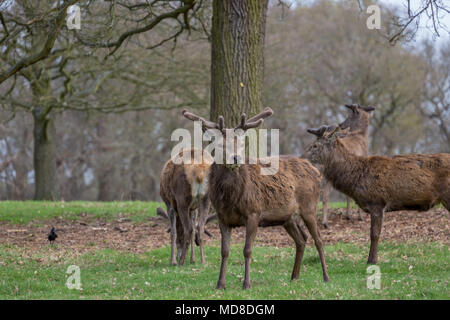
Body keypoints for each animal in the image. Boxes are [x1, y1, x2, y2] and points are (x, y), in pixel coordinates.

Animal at [181, 107, 328, 290]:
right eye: (221, 145)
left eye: (241, 143)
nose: (235, 158)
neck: (230, 199)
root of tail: (315, 171)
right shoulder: (223, 218)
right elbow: (224, 251)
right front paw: (220, 284)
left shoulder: (253, 212)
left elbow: (247, 250)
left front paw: (246, 284)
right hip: (287, 217)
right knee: (301, 240)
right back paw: (294, 277)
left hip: (309, 206)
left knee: (319, 240)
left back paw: (325, 277)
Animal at [304, 126, 448, 264]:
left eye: (315, 145)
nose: (302, 157)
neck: (356, 178)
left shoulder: (377, 201)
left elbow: (374, 234)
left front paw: (372, 260)